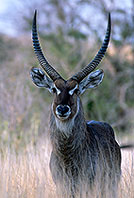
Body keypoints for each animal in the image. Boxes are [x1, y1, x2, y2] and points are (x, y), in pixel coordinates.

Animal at [30, 10, 121, 196]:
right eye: (54, 89)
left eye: (76, 90)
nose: (62, 109)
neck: (67, 158)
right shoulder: (63, 187)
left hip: (110, 184)